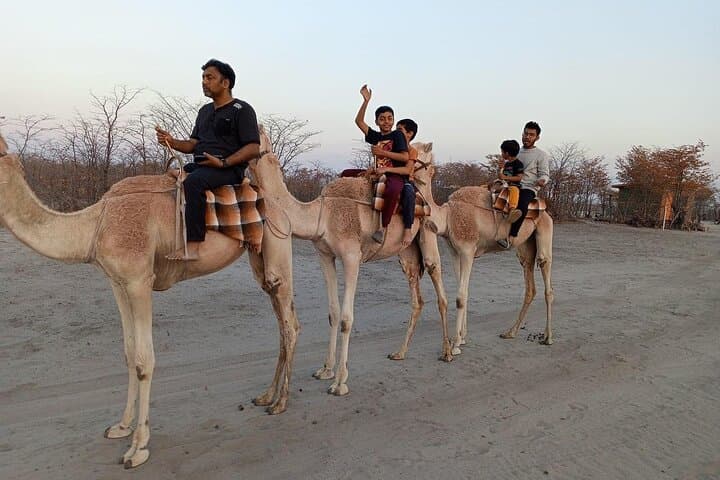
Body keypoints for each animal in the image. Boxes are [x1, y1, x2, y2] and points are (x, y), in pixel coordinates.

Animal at [0, 133, 299, 469]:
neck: (96, 224)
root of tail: (279, 208)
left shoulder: (139, 281)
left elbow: (145, 360)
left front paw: (138, 448)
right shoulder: (118, 283)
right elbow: (129, 354)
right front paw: (120, 427)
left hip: (277, 247)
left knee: (289, 325)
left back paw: (280, 403)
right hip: (260, 261)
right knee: (283, 321)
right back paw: (266, 396)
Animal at [250, 128, 451, 398]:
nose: (428, 172)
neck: (322, 214)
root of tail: (425, 200)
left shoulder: (351, 257)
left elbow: (346, 318)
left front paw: (340, 382)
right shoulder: (325, 255)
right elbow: (333, 313)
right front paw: (326, 370)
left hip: (427, 233)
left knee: (437, 280)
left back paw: (449, 351)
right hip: (407, 253)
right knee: (417, 298)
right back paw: (400, 353)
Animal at [394, 143, 554, 356]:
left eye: (413, 151)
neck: (447, 216)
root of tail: (544, 209)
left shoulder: (467, 250)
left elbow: (461, 297)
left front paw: (454, 346)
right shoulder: (455, 252)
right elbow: (464, 291)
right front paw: (461, 339)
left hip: (544, 231)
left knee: (546, 278)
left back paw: (548, 337)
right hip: (525, 246)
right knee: (530, 284)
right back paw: (510, 332)